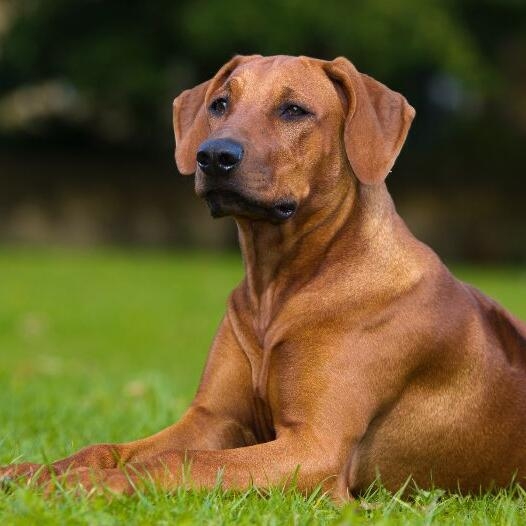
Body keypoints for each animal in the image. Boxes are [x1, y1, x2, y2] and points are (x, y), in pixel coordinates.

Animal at [1, 55, 526, 502]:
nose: (214, 155)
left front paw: (85, 483)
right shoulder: (214, 417)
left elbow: (179, 460)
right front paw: (38, 470)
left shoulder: (315, 447)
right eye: (219, 104)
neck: (278, 285)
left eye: (294, 110)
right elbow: (110, 448)